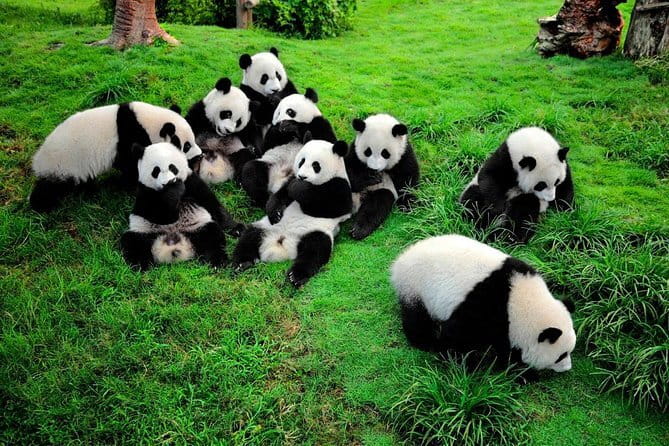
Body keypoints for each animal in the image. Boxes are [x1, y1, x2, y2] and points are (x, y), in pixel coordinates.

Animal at [30, 101, 203, 212]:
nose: (199, 156)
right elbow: (131, 163)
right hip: (64, 164)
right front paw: (127, 184)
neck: (147, 122)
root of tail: (38, 160)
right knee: (51, 187)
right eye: (186, 146)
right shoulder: (129, 135)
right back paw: (41, 205)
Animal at [232, 138, 352, 287]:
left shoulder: (341, 186)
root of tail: (281, 243)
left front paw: (298, 188)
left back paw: (295, 276)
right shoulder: (290, 179)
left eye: (316, 165)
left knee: (315, 251)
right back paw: (243, 263)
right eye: (301, 161)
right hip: (265, 227)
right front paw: (275, 212)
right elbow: (281, 195)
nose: (302, 176)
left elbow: (330, 206)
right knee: (250, 237)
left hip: (314, 232)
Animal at [390, 234, 576, 373]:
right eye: (561, 355)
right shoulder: (485, 306)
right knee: (416, 318)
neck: (519, 300)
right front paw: (458, 362)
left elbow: (504, 344)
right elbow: (455, 335)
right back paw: (424, 342)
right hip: (415, 286)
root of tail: (400, 261)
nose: (567, 368)